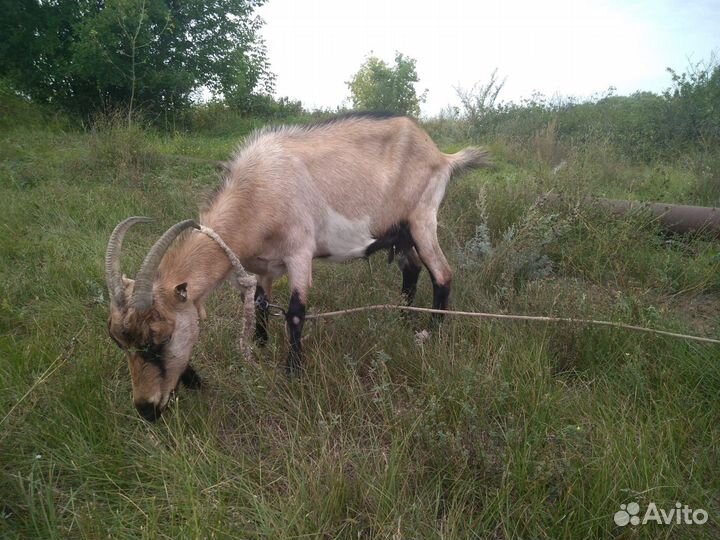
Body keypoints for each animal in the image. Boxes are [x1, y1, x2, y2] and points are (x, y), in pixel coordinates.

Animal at [105, 113, 489, 421]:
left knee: (442, 273)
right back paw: (402, 316)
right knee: (411, 270)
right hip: (401, 232)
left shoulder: (300, 252)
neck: (258, 189)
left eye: (161, 338)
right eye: (119, 342)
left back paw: (432, 332)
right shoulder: (262, 264)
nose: (147, 408)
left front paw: (293, 372)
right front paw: (259, 346)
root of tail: (442, 155)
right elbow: (260, 303)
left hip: (422, 218)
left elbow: (294, 312)